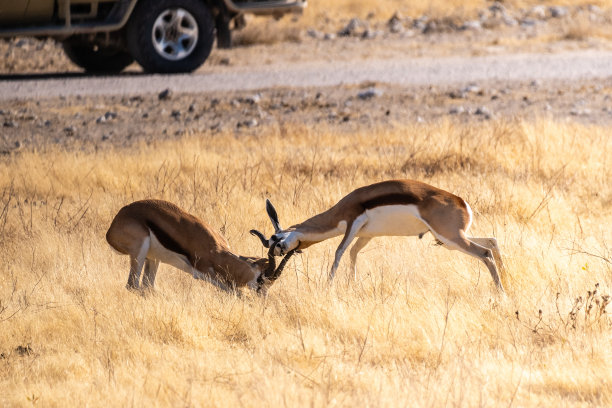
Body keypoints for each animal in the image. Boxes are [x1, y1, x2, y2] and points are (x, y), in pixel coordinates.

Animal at [106, 200, 296, 294]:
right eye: (260, 280)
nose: (262, 299)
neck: (217, 252)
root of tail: (112, 227)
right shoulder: (203, 273)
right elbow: (237, 294)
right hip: (140, 253)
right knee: (132, 286)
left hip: (153, 258)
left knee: (148, 287)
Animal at [252, 180, 506, 292]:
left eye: (276, 243)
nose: (280, 255)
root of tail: (462, 202)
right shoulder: (366, 235)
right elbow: (353, 253)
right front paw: (352, 285)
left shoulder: (352, 224)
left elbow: (339, 252)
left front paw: (329, 286)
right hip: (447, 239)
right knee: (492, 242)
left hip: (450, 238)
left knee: (484, 252)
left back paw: (501, 293)